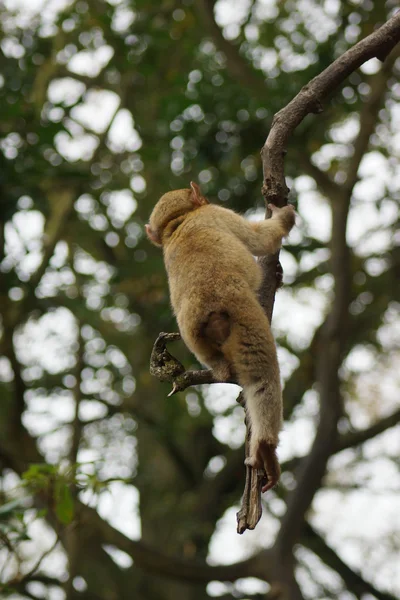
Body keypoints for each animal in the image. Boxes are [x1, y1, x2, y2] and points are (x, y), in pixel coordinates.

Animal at [145, 183, 296, 492]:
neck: (175, 223)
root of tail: (209, 311)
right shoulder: (217, 213)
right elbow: (261, 239)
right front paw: (284, 217)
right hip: (244, 315)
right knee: (262, 377)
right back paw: (265, 446)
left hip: (196, 341)